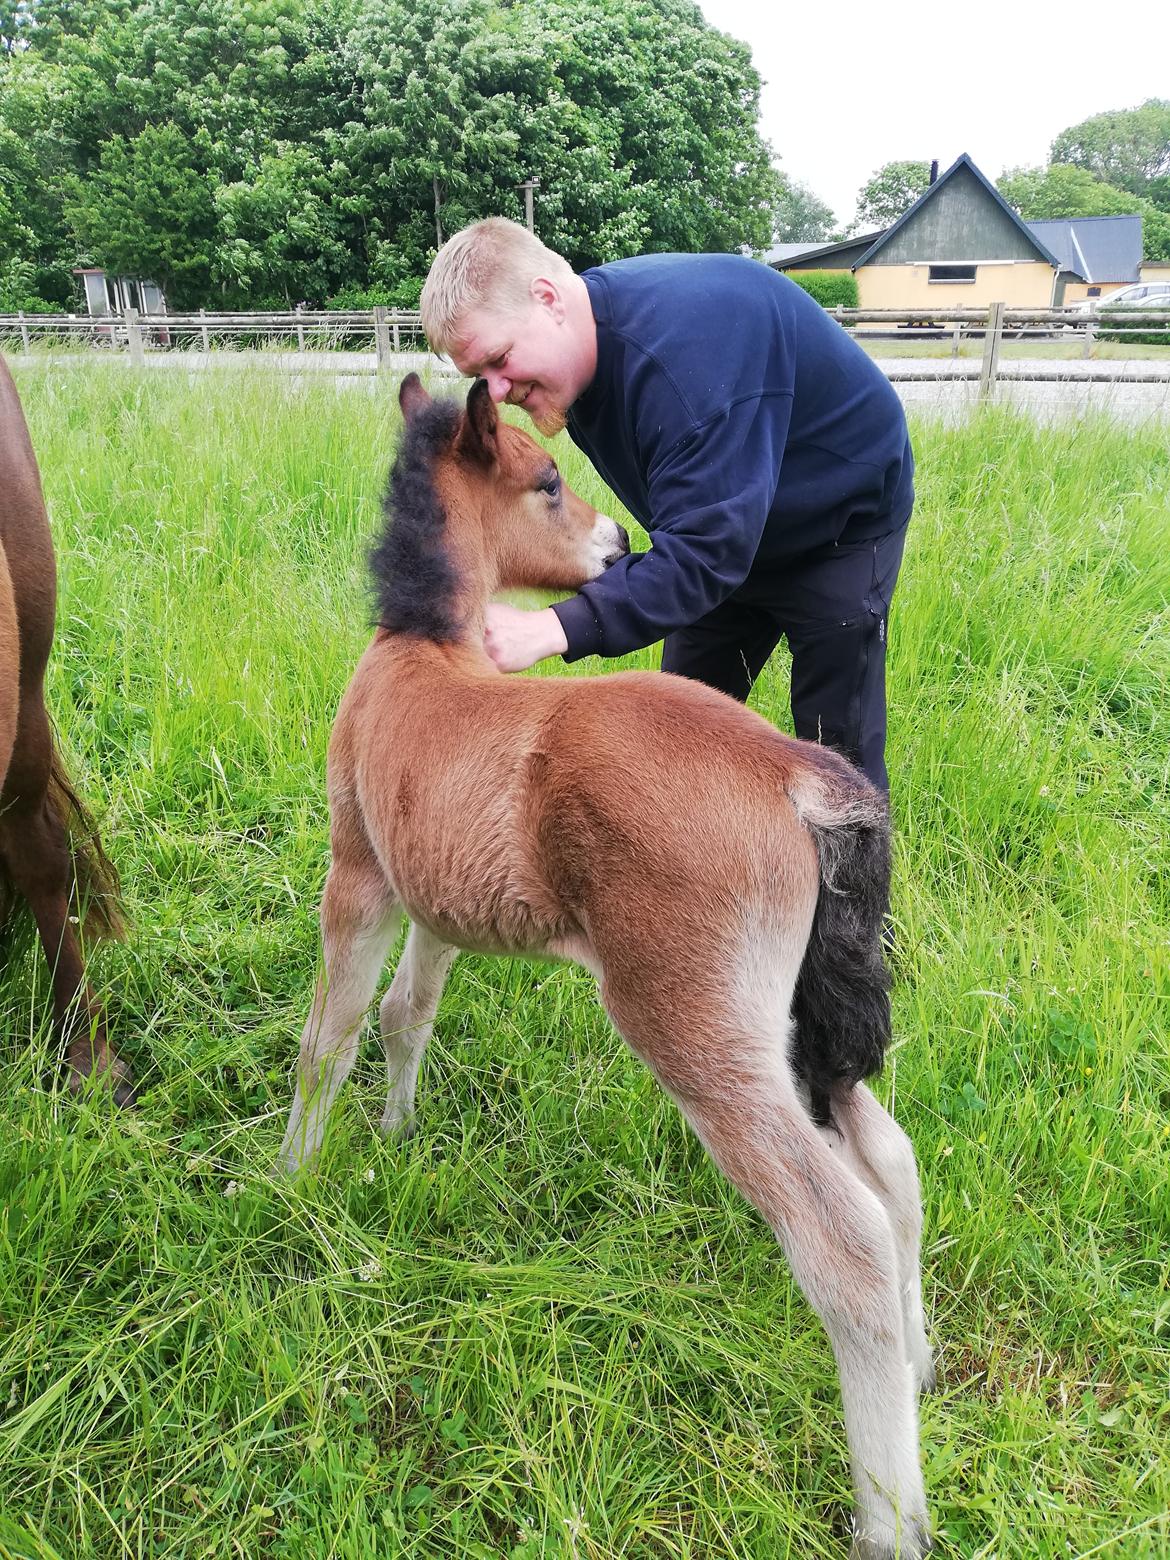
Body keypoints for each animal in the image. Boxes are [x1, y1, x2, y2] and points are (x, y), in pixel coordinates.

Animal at [282, 377, 935, 1560]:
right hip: (799, 1030)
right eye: (547, 482)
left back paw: (887, 1515)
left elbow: (330, 1036)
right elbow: (408, 1012)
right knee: (893, 1164)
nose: (616, 541)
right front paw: (395, 1137)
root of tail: (800, 778)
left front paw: (287, 1179)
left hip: (695, 1028)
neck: (422, 654)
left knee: (842, 1236)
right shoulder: (438, 897)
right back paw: (920, 1364)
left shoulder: (359, 873)